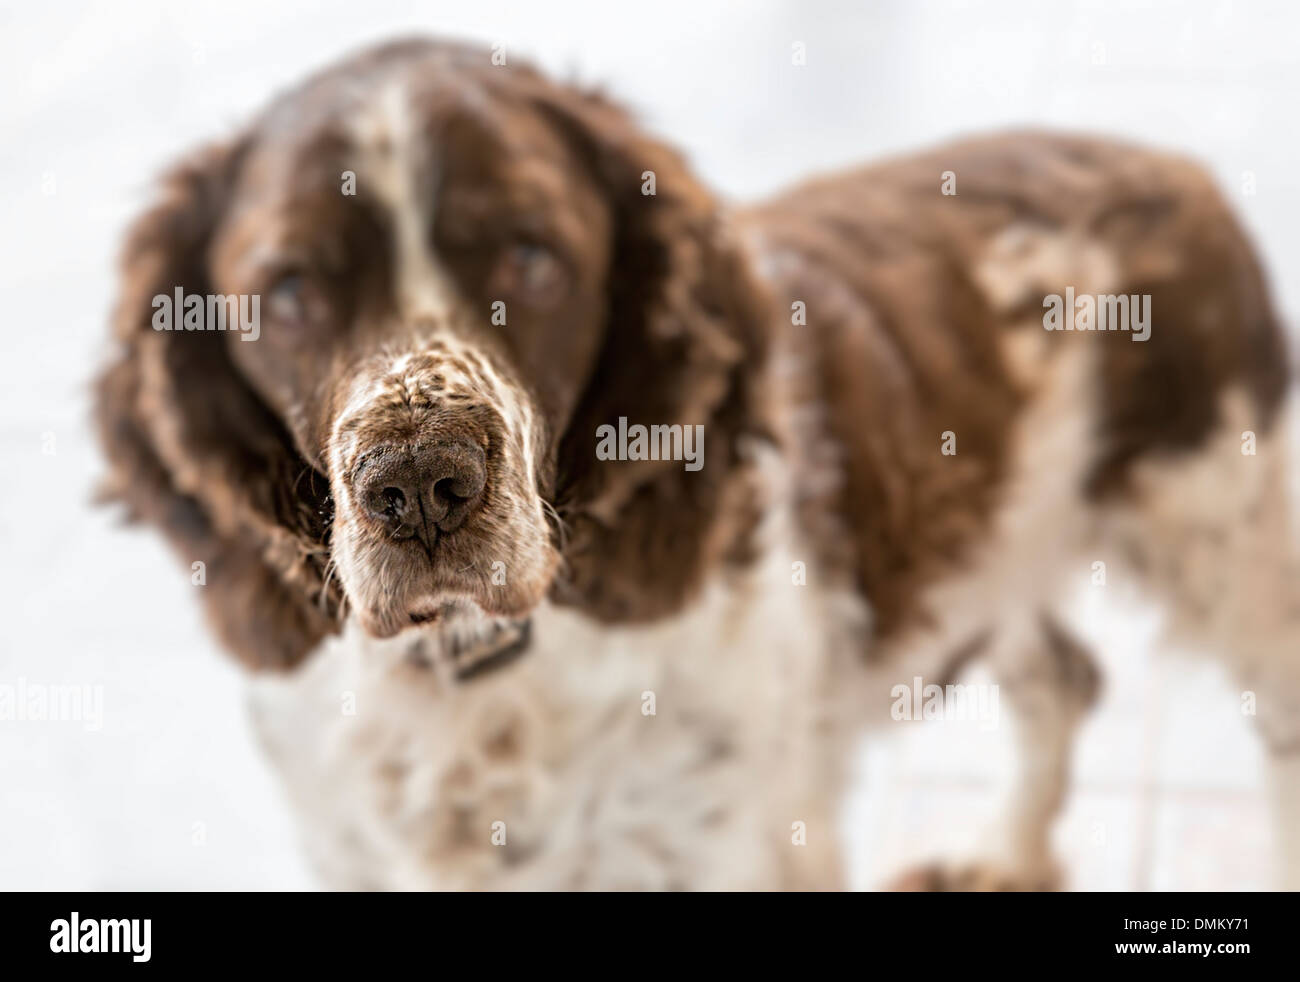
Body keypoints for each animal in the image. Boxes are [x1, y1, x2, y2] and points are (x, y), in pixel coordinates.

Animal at [94, 38, 1300, 889]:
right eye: (289, 288)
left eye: (534, 256)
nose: (419, 487)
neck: (476, 677)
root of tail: (1175, 166)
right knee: (1062, 678)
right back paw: (1007, 856)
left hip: (1235, 547)